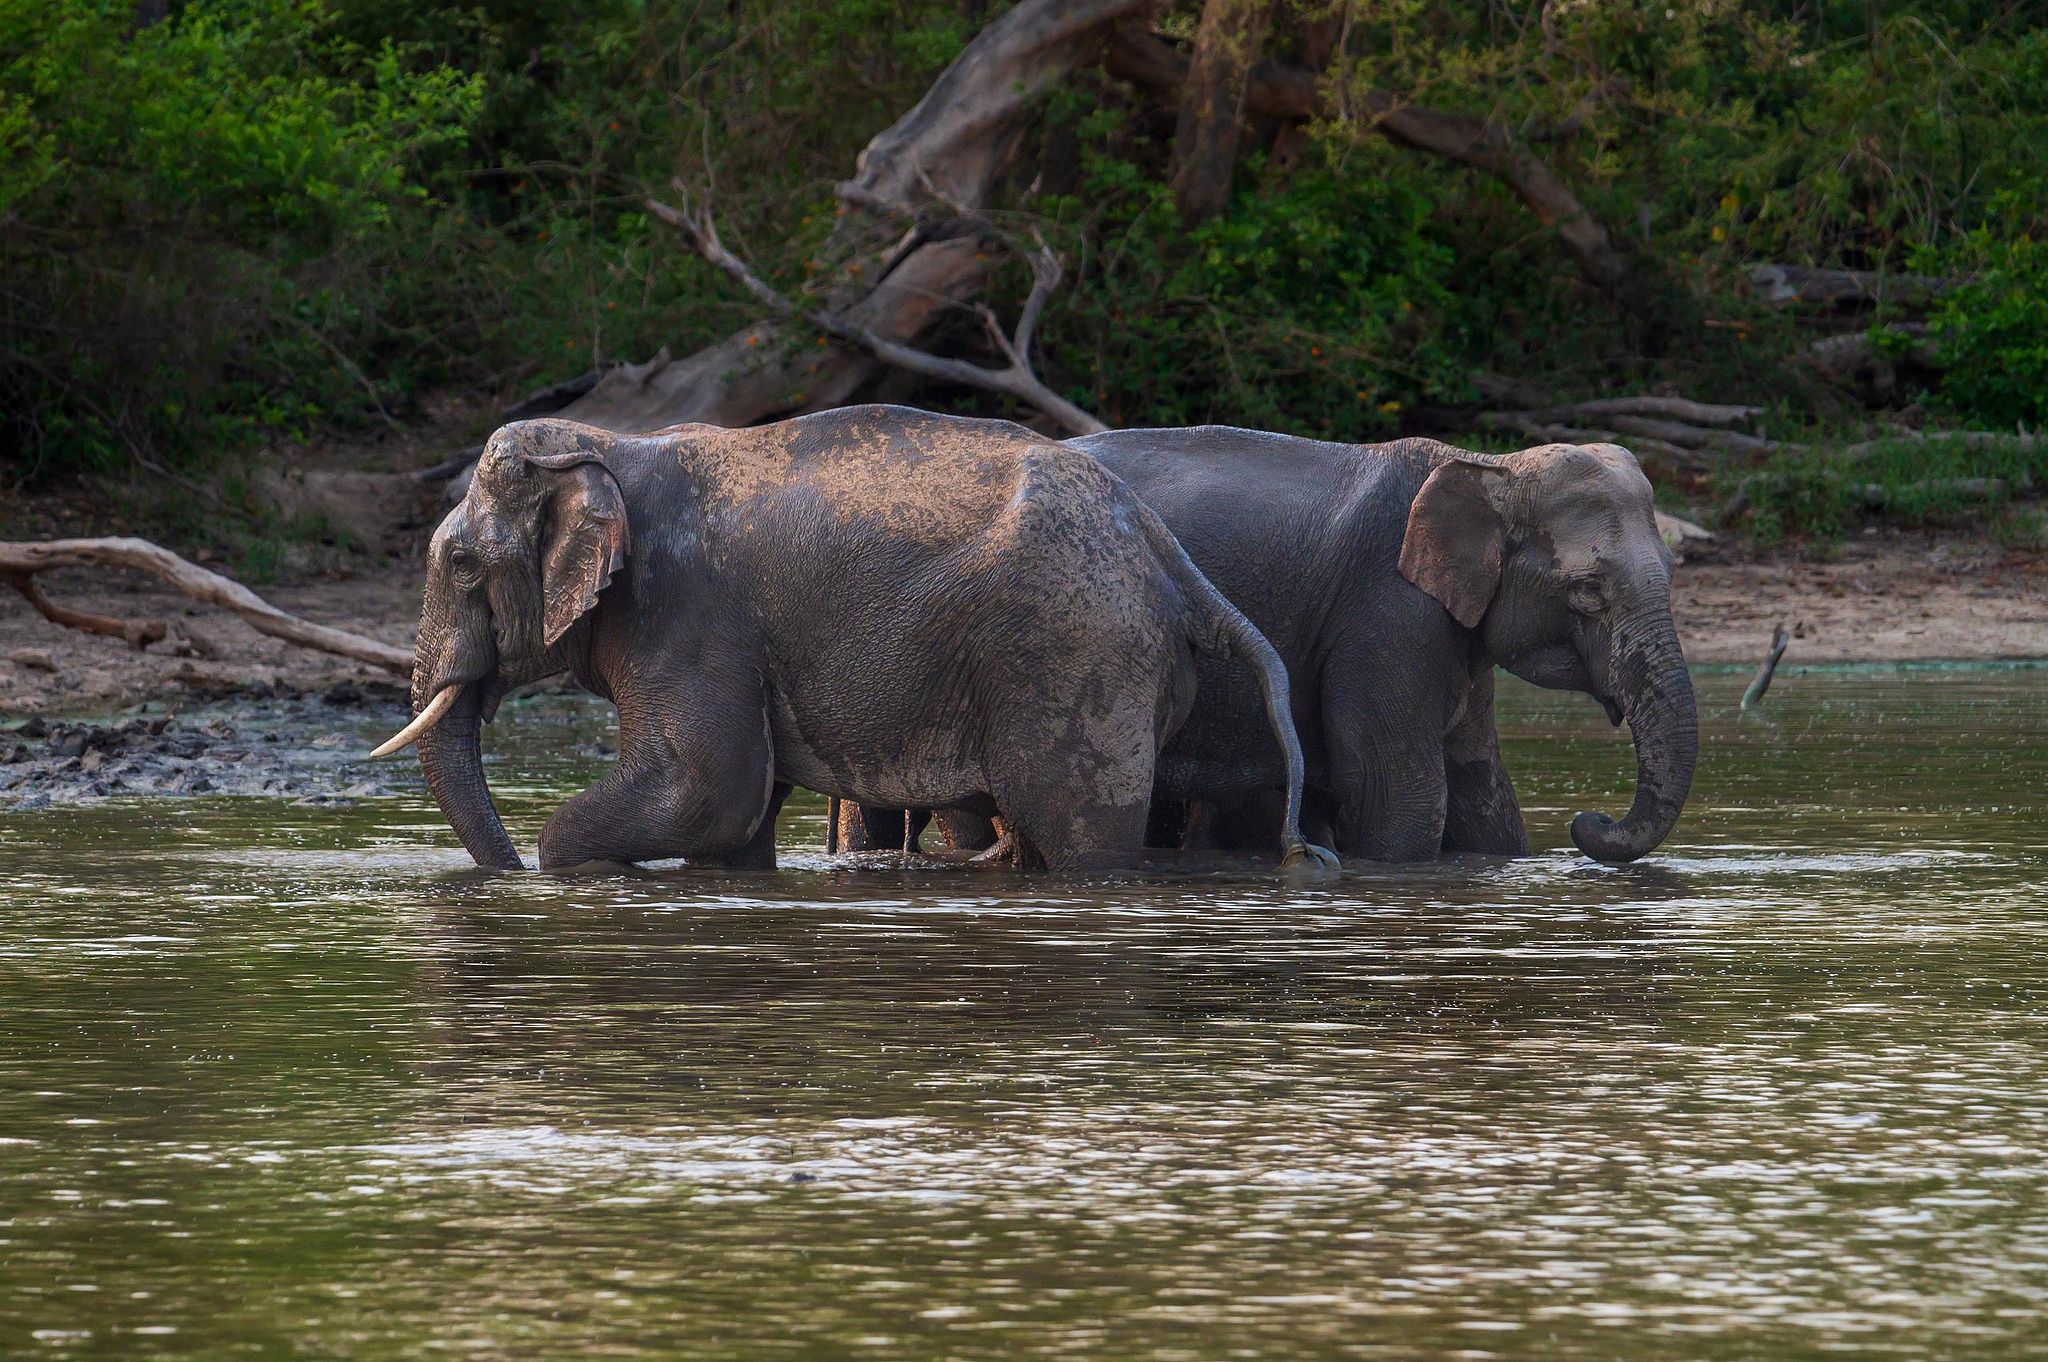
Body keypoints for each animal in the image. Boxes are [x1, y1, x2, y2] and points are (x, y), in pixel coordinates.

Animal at [369, 406, 1338, 875]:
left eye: (459, 562)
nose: (502, 883)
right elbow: (734, 820)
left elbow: (706, 789)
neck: (616, 443)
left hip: (1080, 659)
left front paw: (571, 869)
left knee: (1080, 835)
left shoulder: (684, 609)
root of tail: (1167, 554)